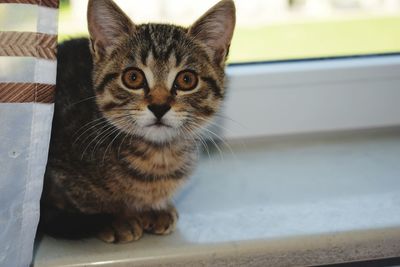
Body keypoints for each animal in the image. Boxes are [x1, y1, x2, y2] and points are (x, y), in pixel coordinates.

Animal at [39, 0, 234, 244]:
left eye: (187, 79)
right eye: (133, 77)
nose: (159, 106)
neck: (157, 158)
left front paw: (155, 209)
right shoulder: (57, 160)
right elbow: (83, 199)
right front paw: (116, 218)